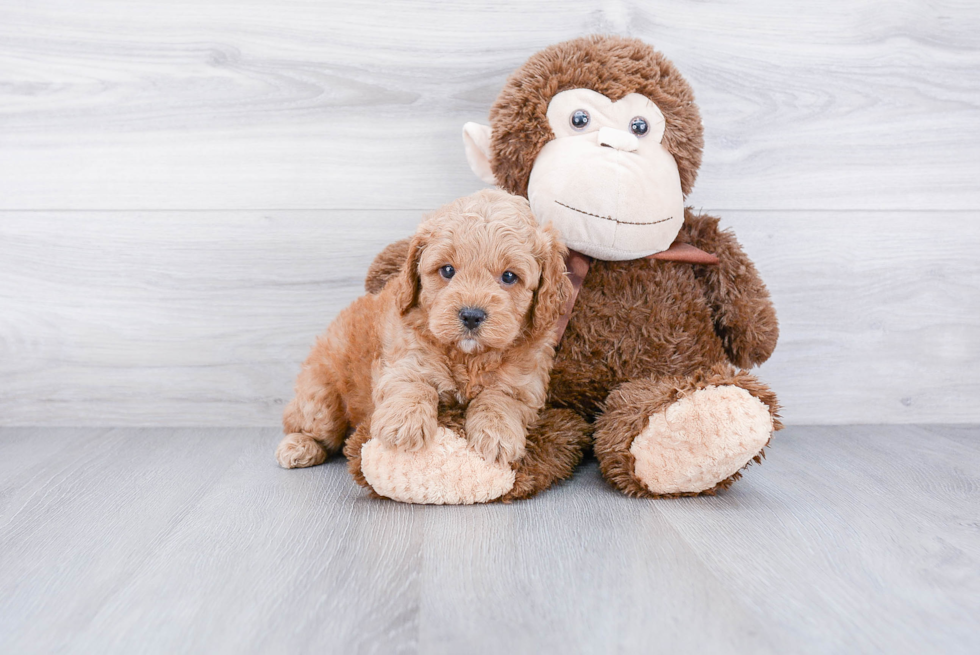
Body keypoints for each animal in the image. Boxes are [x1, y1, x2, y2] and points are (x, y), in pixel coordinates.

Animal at [274, 190, 568, 472]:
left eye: (509, 276)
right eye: (447, 270)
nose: (471, 315)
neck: (468, 356)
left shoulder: (525, 386)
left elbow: (500, 399)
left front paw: (497, 434)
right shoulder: (403, 358)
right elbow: (414, 383)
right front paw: (405, 424)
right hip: (321, 396)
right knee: (308, 423)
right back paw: (299, 446)